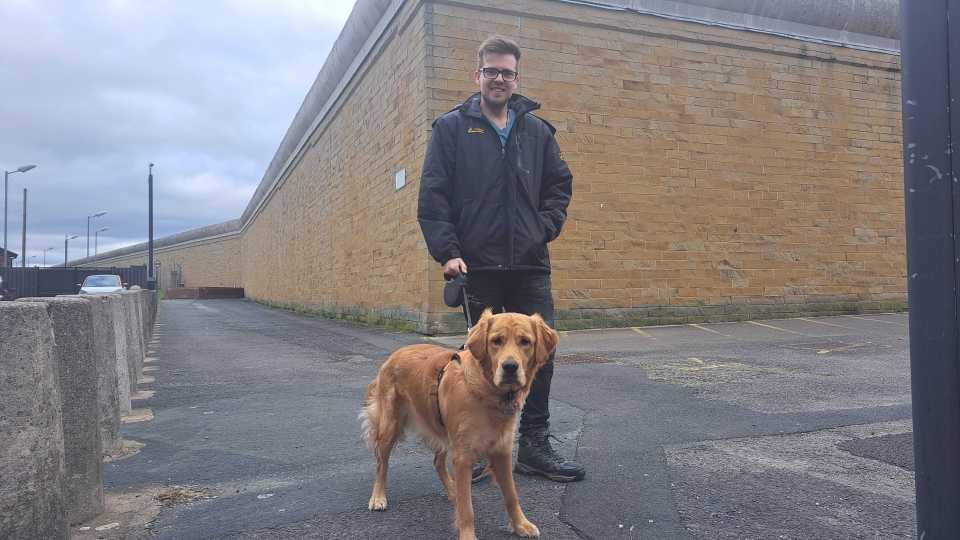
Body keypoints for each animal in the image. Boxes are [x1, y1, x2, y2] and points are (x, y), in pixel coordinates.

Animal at [360, 310, 556, 536]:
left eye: (525, 341)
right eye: (496, 341)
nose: (510, 367)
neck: (487, 391)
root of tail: (394, 355)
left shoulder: (502, 450)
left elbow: (511, 495)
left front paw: (520, 524)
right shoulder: (463, 456)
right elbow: (467, 509)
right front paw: (468, 535)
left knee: (437, 463)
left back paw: (453, 491)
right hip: (390, 426)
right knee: (381, 463)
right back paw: (378, 497)